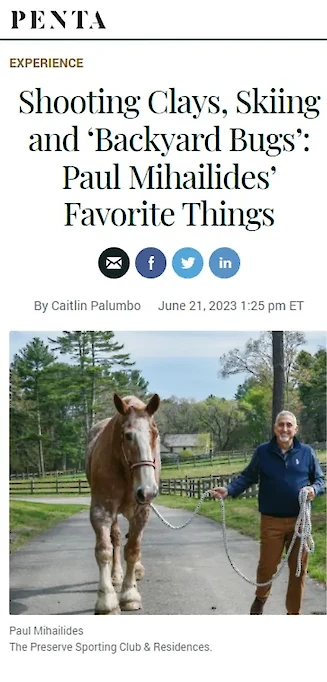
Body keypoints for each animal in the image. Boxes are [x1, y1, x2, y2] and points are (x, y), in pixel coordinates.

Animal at [86, 390, 160, 612]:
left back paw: (136, 571)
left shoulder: (141, 511)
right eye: (128, 435)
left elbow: (133, 550)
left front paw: (129, 595)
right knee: (117, 539)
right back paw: (117, 575)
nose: (148, 491)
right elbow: (104, 550)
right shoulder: (102, 510)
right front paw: (107, 599)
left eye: (155, 433)